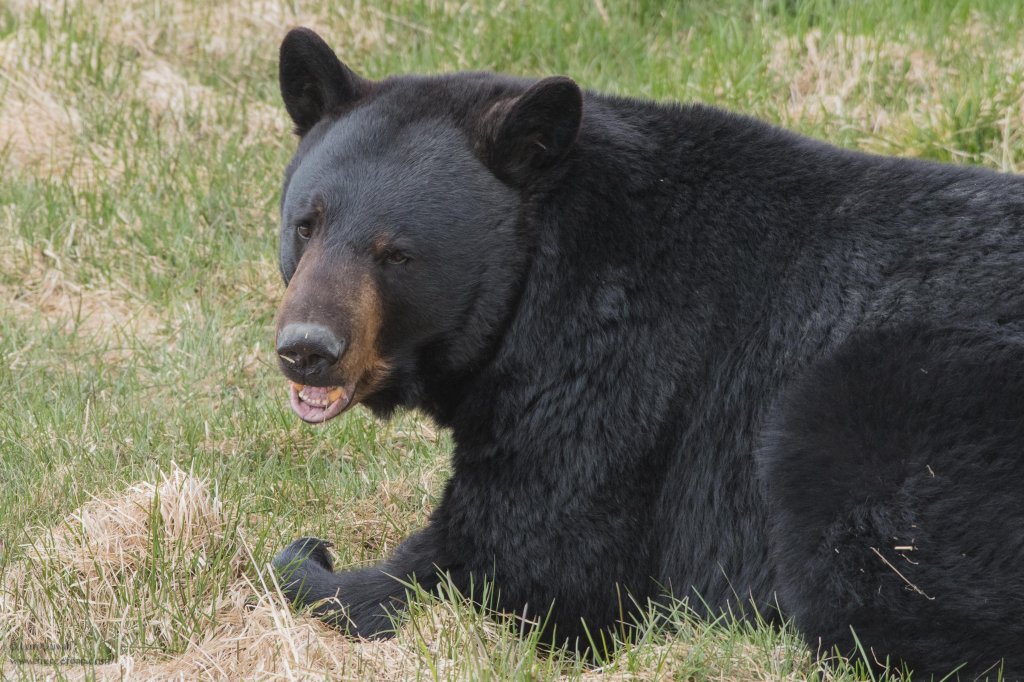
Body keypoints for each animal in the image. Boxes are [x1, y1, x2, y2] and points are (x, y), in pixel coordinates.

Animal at [272, 26, 1024, 675]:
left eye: (396, 253)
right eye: (306, 224)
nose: (307, 348)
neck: (546, 274)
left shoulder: (624, 380)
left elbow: (521, 561)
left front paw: (312, 561)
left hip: (896, 402)